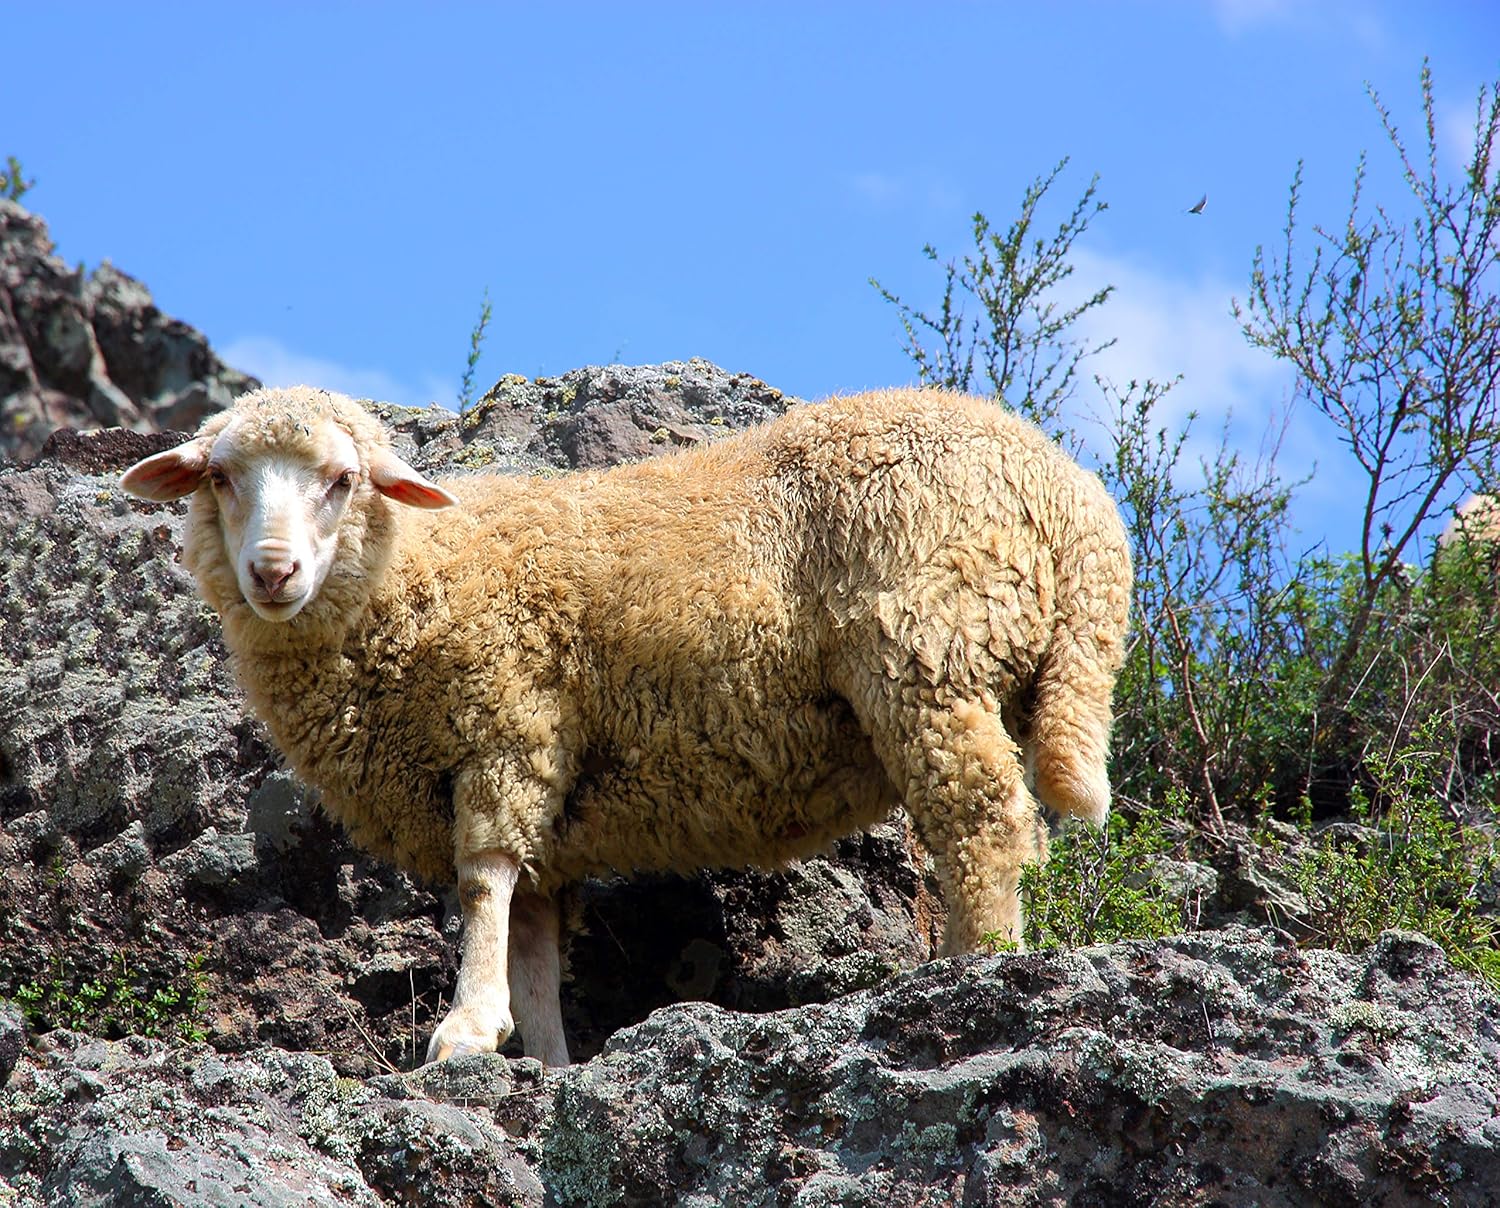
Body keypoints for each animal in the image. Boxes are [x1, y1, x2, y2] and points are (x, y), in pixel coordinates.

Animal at [121, 383, 1133, 1067]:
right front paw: (544, 1057)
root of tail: (1075, 500)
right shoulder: (544, 800)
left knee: (985, 821)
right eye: (220, 477)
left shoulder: (511, 727)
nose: (273, 573)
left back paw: (973, 973)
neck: (416, 577)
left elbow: (484, 884)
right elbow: (532, 932)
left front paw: (466, 1027)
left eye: (341, 480)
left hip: (930, 650)